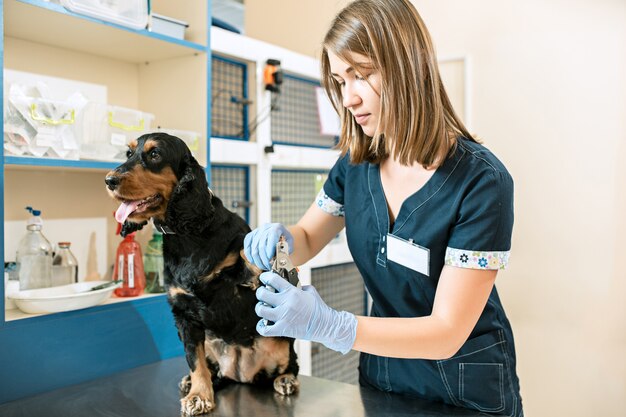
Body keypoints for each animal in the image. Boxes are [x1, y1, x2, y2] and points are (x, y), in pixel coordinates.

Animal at [105, 132, 300, 412]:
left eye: (155, 154)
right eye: (128, 154)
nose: (109, 180)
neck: (187, 234)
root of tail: (241, 373)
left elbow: (243, 250)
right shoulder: (184, 315)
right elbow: (194, 360)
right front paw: (199, 394)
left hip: (281, 339)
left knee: (291, 361)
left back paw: (286, 379)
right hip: (209, 342)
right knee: (211, 368)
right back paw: (197, 381)